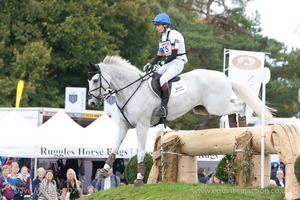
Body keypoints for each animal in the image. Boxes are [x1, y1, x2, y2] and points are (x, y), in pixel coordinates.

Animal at [87, 55, 274, 186]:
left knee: (241, 106)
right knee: (237, 105)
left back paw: (241, 128)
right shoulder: (123, 126)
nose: (92, 103)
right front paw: (103, 172)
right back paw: (235, 128)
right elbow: (114, 147)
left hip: (216, 106)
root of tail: (225, 77)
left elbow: (140, 151)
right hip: (206, 107)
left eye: (95, 80)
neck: (131, 89)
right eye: (89, 80)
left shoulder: (142, 126)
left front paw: (139, 179)